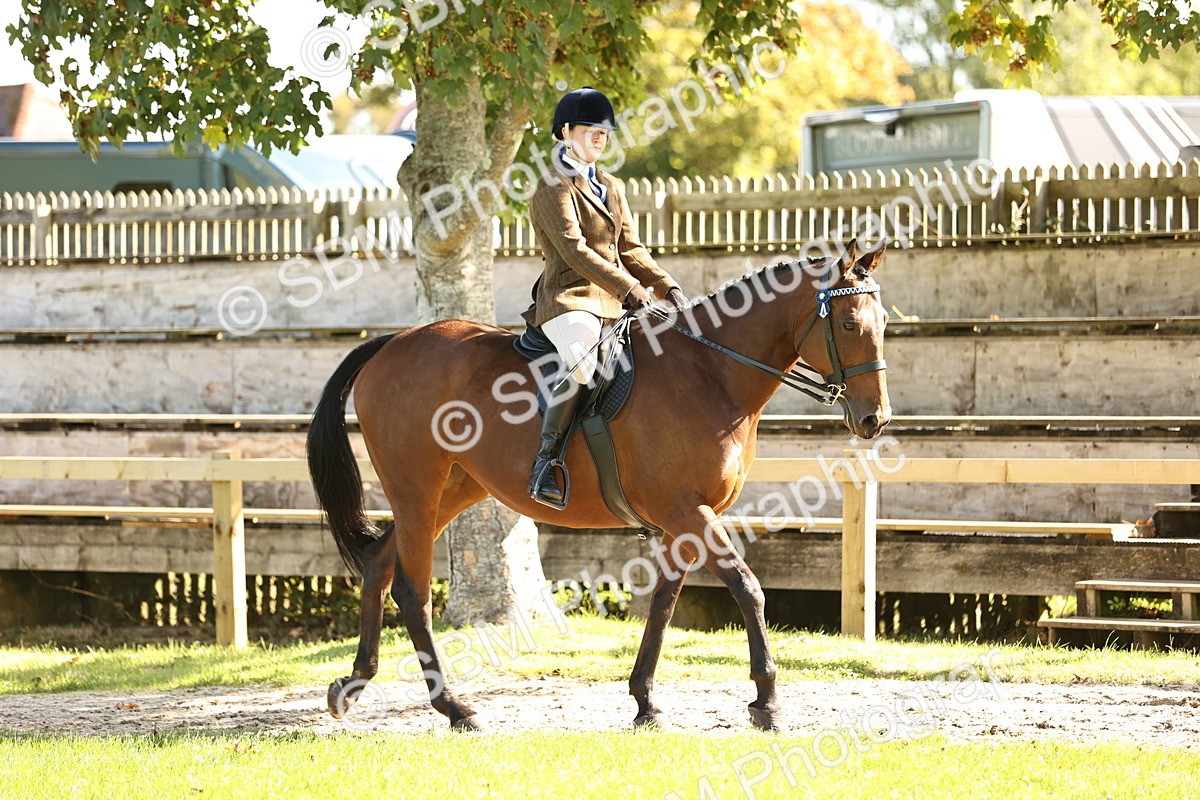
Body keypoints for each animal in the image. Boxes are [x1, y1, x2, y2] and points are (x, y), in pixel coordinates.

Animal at [306, 240, 891, 732]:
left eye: (883, 321)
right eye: (847, 323)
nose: (874, 420)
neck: (711, 372)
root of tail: (394, 342)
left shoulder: (685, 521)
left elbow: (663, 604)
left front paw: (646, 701)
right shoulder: (690, 512)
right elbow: (747, 588)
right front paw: (766, 701)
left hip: (454, 488)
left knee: (379, 564)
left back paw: (353, 686)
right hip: (417, 490)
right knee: (413, 589)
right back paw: (454, 708)